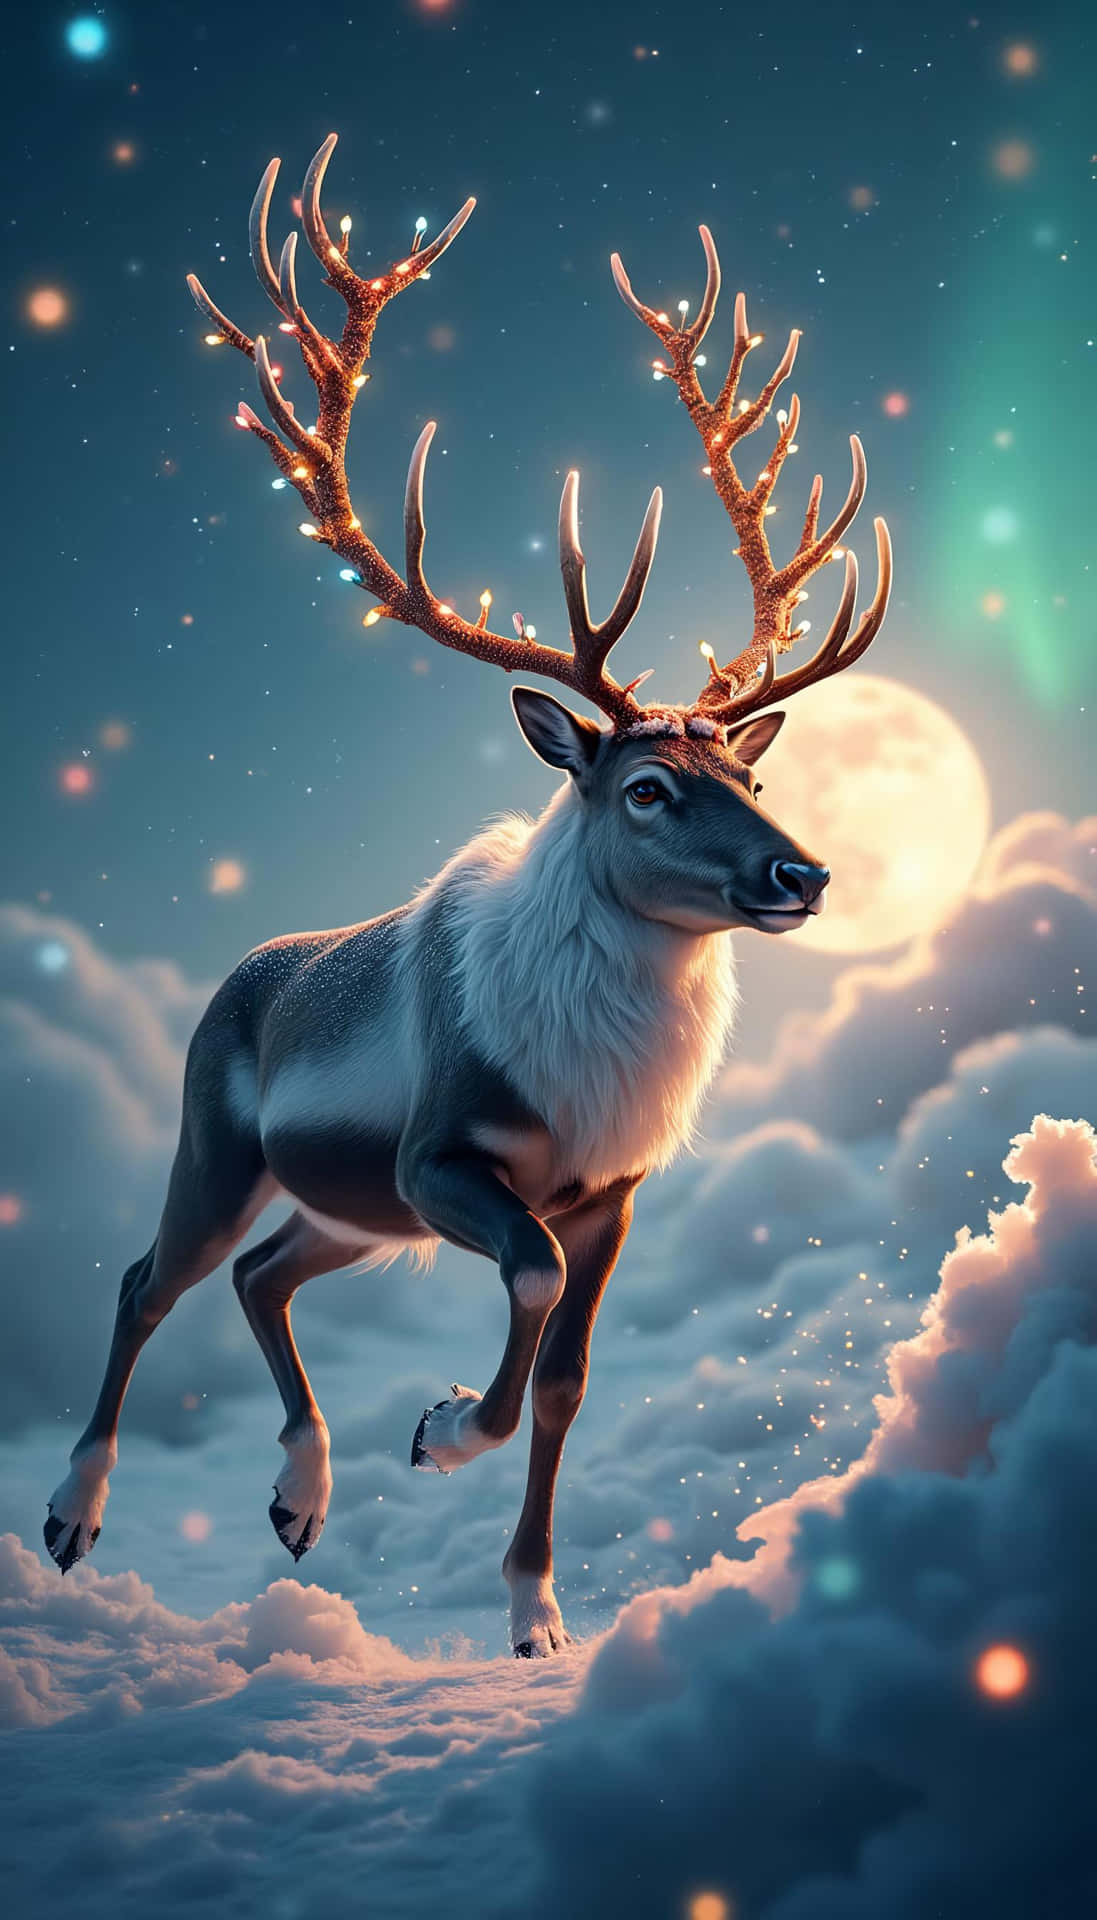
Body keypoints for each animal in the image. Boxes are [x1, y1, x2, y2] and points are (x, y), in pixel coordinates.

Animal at [44, 135, 891, 1658]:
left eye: (743, 765)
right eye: (647, 790)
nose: (800, 872)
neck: (584, 1076)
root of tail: (234, 976)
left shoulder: (609, 1194)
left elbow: (566, 1376)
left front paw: (534, 1612)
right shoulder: (440, 1155)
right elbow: (531, 1284)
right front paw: (439, 1429)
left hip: (343, 1207)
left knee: (262, 1276)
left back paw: (299, 1496)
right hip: (228, 1146)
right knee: (154, 1277)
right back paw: (75, 1516)